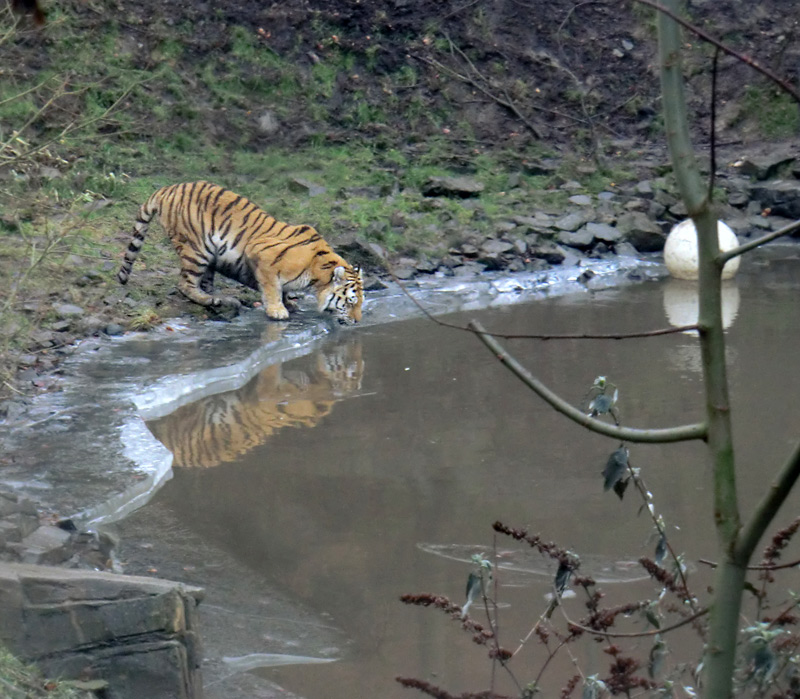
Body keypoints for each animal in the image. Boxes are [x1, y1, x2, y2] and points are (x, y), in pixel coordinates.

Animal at [117, 179, 364, 324]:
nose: (357, 321)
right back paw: (211, 300)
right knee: (185, 284)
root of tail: (167, 189)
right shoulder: (262, 255)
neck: (317, 273)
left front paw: (289, 303)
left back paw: (219, 299)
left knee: (203, 281)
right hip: (197, 249)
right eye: (351, 302)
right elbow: (272, 288)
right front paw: (278, 310)